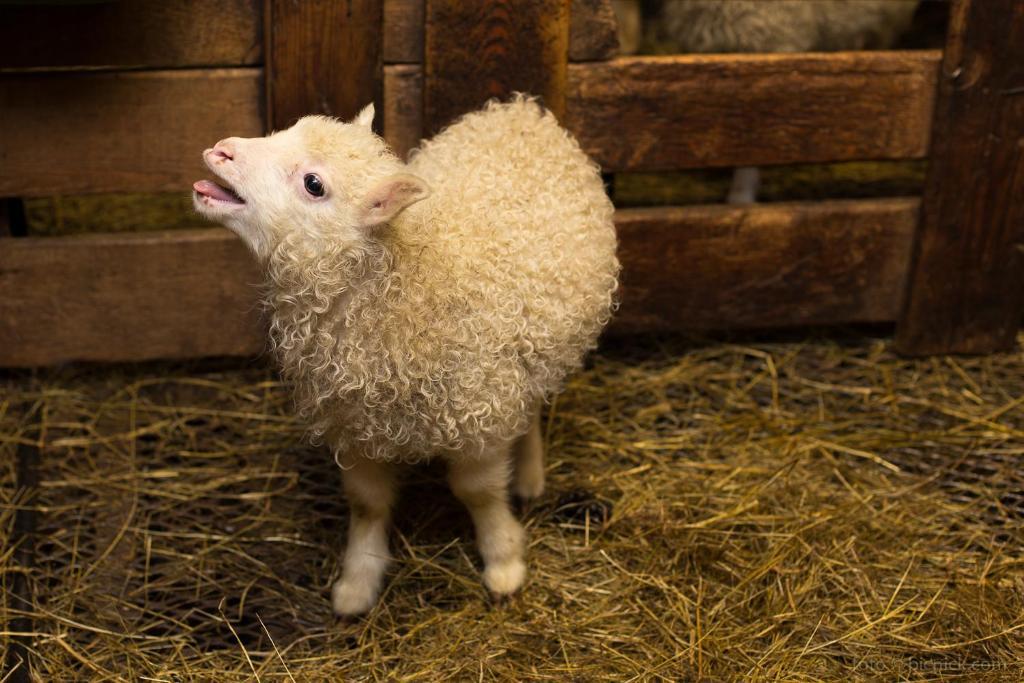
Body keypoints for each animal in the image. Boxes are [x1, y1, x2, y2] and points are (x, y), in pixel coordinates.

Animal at [194, 98, 618, 618]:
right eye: (287, 129)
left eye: (314, 184)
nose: (222, 150)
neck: (404, 280)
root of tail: (518, 111)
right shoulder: (352, 419)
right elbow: (368, 503)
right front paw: (357, 583)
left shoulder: (480, 409)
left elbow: (479, 493)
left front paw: (504, 561)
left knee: (534, 404)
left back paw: (530, 476)